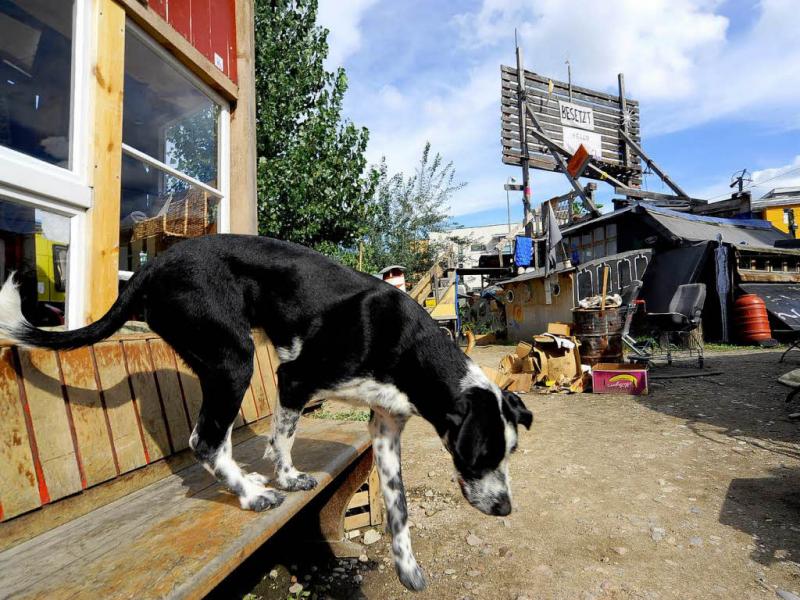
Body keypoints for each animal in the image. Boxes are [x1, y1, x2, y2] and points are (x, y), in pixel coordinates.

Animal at [0, 234, 532, 592]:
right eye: (480, 455)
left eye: (510, 453)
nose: (506, 509)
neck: (409, 347)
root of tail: (155, 265)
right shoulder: (293, 379)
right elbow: (282, 437)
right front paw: (287, 477)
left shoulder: (385, 429)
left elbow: (398, 509)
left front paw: (407, 566)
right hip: (234, 359)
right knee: (204, 440)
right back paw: (252, 495)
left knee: (215, 439)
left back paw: (249, 482)